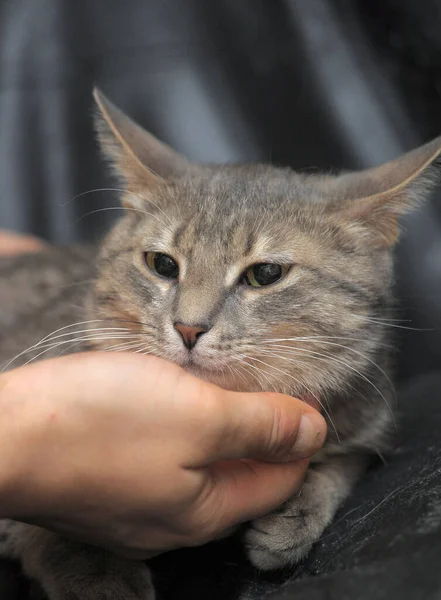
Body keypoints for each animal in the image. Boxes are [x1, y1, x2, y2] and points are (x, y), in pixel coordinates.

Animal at [0, 85, 438, 600]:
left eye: (265, 273)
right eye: (161, 264)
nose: (189, 328)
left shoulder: (369, 426)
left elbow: (342, 465)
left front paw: (295, 515)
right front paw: (97, 574)